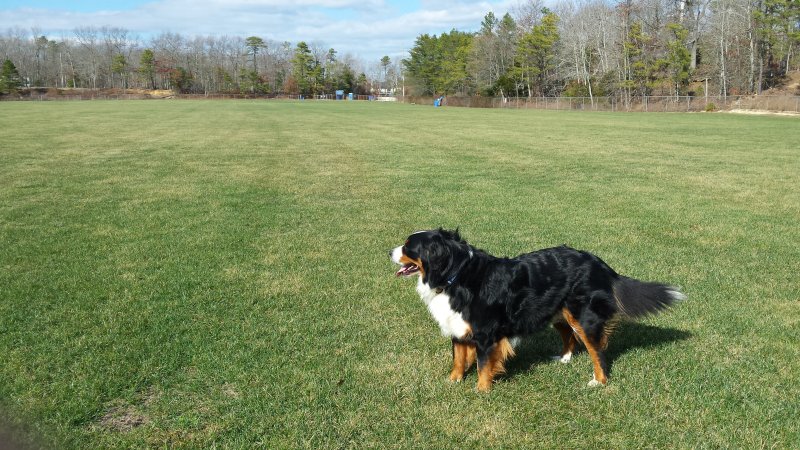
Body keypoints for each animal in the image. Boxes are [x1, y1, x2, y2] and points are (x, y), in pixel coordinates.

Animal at [390, 229, 684, 390]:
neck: (455, 276)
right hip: (560, 313)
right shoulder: (458, 327)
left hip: (583, 315)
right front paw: (453, 382)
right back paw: (564, 359)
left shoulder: (486, 334)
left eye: (408, 246)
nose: (387, 252)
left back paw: (598, 381)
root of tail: (598, 262)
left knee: (596, 350)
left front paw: (481, 391)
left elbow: (484, 365)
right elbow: (459, 360)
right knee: (569, 336)